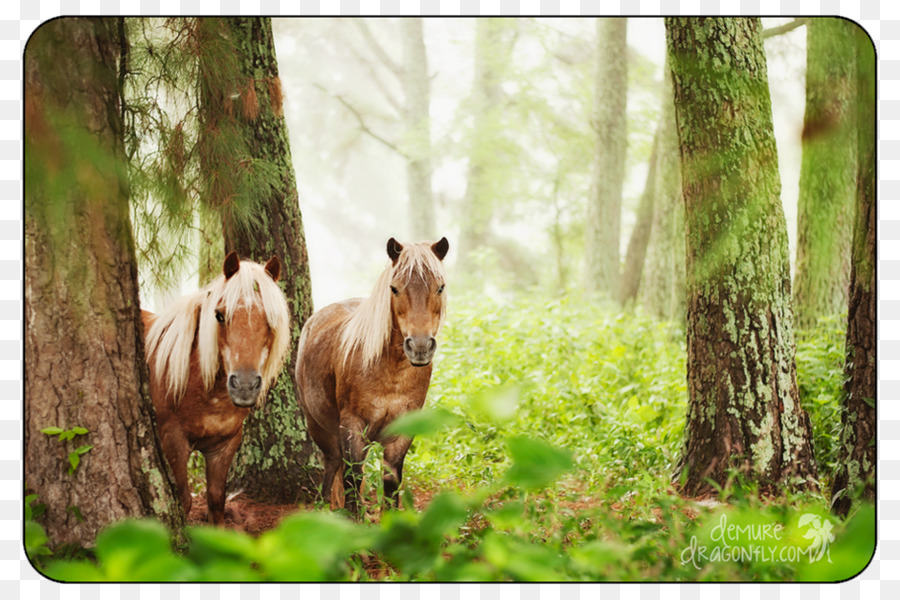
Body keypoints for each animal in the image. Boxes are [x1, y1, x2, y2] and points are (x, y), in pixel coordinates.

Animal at [142, 253, 288, 524]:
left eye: (271, 320)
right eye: (219, 315)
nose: (244, 386)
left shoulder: (224, 446)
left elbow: (216, 500)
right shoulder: (174, 441)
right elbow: (183, 500)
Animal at [298, 237, 448, 516]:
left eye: (440, 287)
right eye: (394, 289)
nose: (420, 346)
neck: (392, 372)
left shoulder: (402, 430)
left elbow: (391, 482)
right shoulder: (352, 425)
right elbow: (352, 478)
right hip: (319, 427)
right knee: (332, 463)